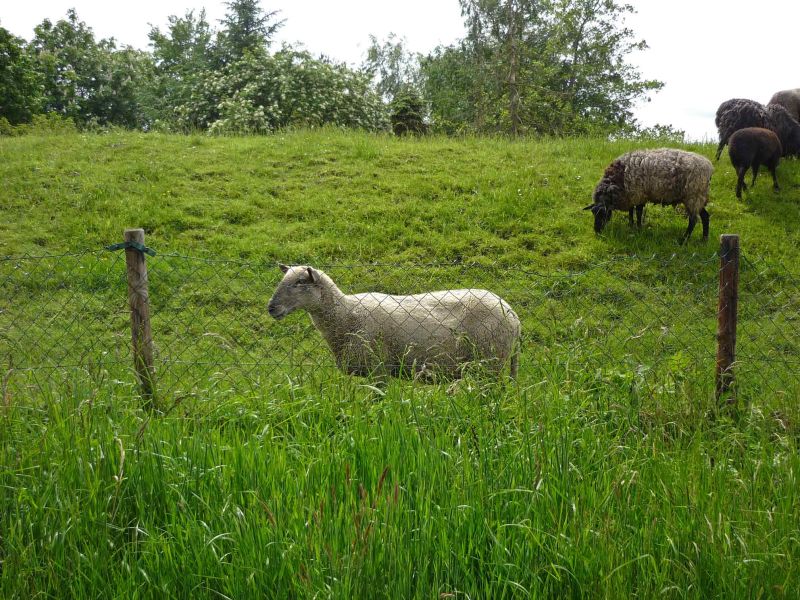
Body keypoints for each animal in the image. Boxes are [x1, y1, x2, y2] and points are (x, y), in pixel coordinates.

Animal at [267, 265, 521, 380]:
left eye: (300, 282)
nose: (271, 308)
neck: (347, 315)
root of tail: (514, 316)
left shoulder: (378, 370)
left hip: (489, 361)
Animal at [584, 148, 713, 244]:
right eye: (593, 213)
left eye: (604, 214)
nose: (597, 231)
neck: (619, 177)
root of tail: (709, 167)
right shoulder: (632, 196)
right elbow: (631, 211)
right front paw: (630, 224)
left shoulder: (639, 195)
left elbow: (638, 212)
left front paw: (638, 228)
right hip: (698, 197)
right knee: (705, 216)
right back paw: (704, 239)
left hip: (694, 195)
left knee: (693, 220)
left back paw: (684, 239)